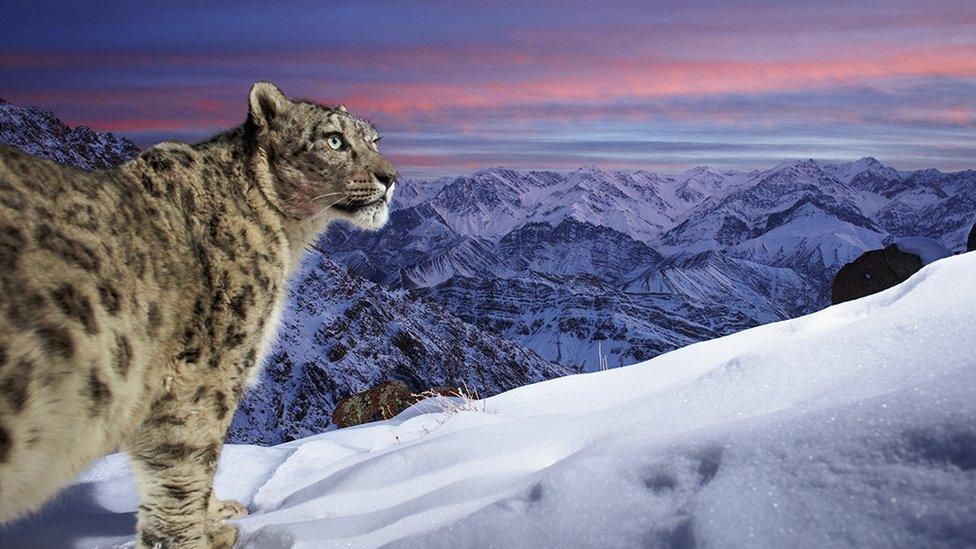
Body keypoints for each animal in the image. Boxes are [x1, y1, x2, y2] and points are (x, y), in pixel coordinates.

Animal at [0, 82, 396, 548]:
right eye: (334, 140)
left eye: (373, 140)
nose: (390, 177)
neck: (288, 236)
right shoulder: (206, 372)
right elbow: (187, 462)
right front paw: (197, 537)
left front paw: (217, 510)